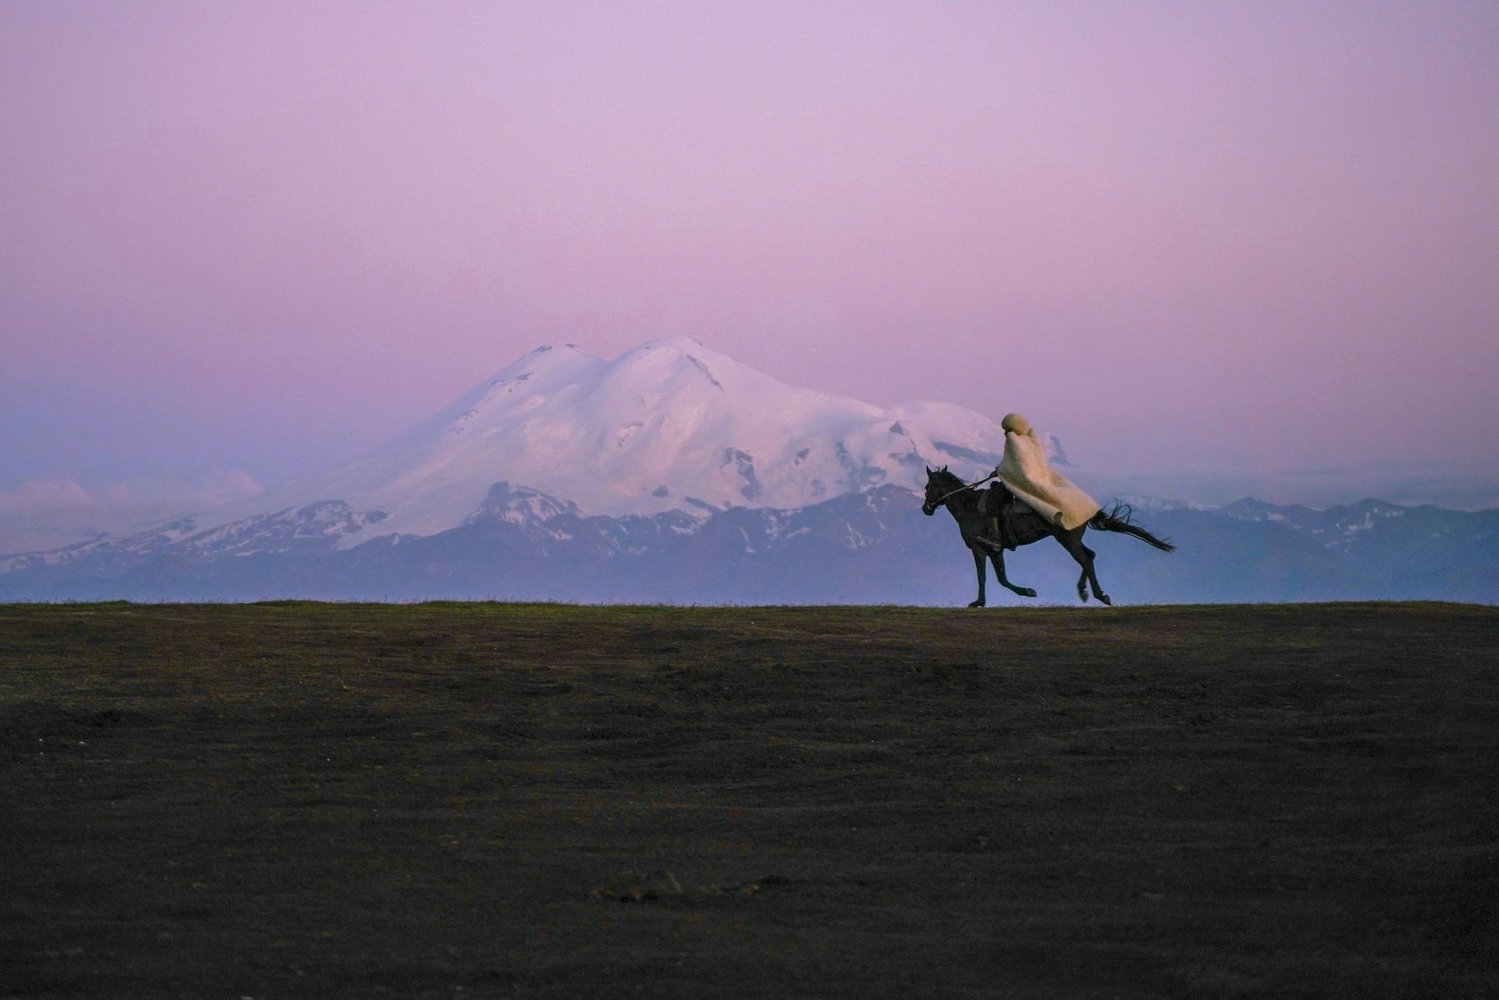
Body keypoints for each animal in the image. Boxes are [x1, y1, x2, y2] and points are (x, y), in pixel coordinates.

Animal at [917, 467, 1175, 611]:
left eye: (928, 485)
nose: (925, 509)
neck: (968, 507)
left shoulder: (981, 548)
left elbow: (990, 578)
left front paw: (986, 601)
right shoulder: (993, 551)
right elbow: (996, 578)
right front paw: (992, 599)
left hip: (1066, 539)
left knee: (1085, 559)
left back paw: (1100, 595)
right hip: (1070, 540)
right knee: (1089, 556)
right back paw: (1085, 591)